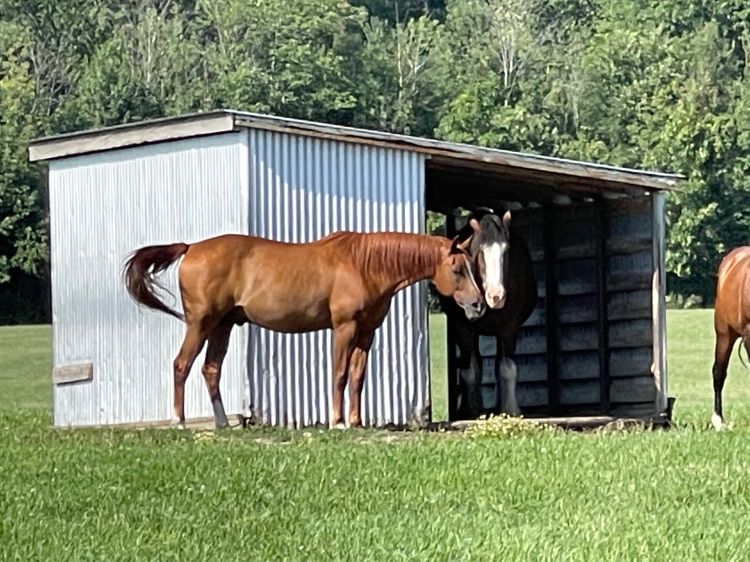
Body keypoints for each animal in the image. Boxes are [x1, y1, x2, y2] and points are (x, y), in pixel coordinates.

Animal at [123, 231, 485, 429]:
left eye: (474, 266)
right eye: (457, 268)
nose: (478, 305)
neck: (364, 265)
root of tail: (191, 247)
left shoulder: (367, 333)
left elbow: (357, 377)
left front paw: (356, 420)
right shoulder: (344, 328)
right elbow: (339, 374)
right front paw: (338, 421)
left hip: (222, 326)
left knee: (211, 369)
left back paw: (224, 423)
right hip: (200, 323)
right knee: (181, 365)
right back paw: (178, 421)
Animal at [440, 208, 537, 419]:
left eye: (506, 251)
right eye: (480, 252)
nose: (496, 296)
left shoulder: (509, 329)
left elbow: (507, 368)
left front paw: (510, 409)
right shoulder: (464, 330)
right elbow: (469, 371)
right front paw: (468, 410)